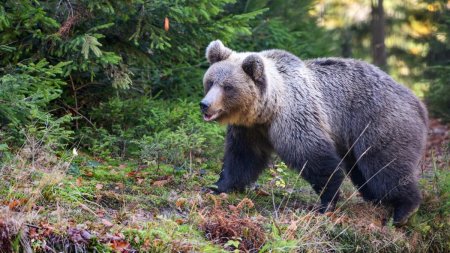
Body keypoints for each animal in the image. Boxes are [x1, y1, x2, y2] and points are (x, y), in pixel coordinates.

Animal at [200, 40, 428, 225]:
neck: (268, 110)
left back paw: (403, 211)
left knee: (385, 165)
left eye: (228, 87)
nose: (205, 105)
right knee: (365, 173)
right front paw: (216, 186)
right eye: (210, 81)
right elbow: (242, 158)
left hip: (378, 122)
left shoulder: (294, 118)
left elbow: (314, 158)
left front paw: (325, 203)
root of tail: (417, 103)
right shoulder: (250, 130)